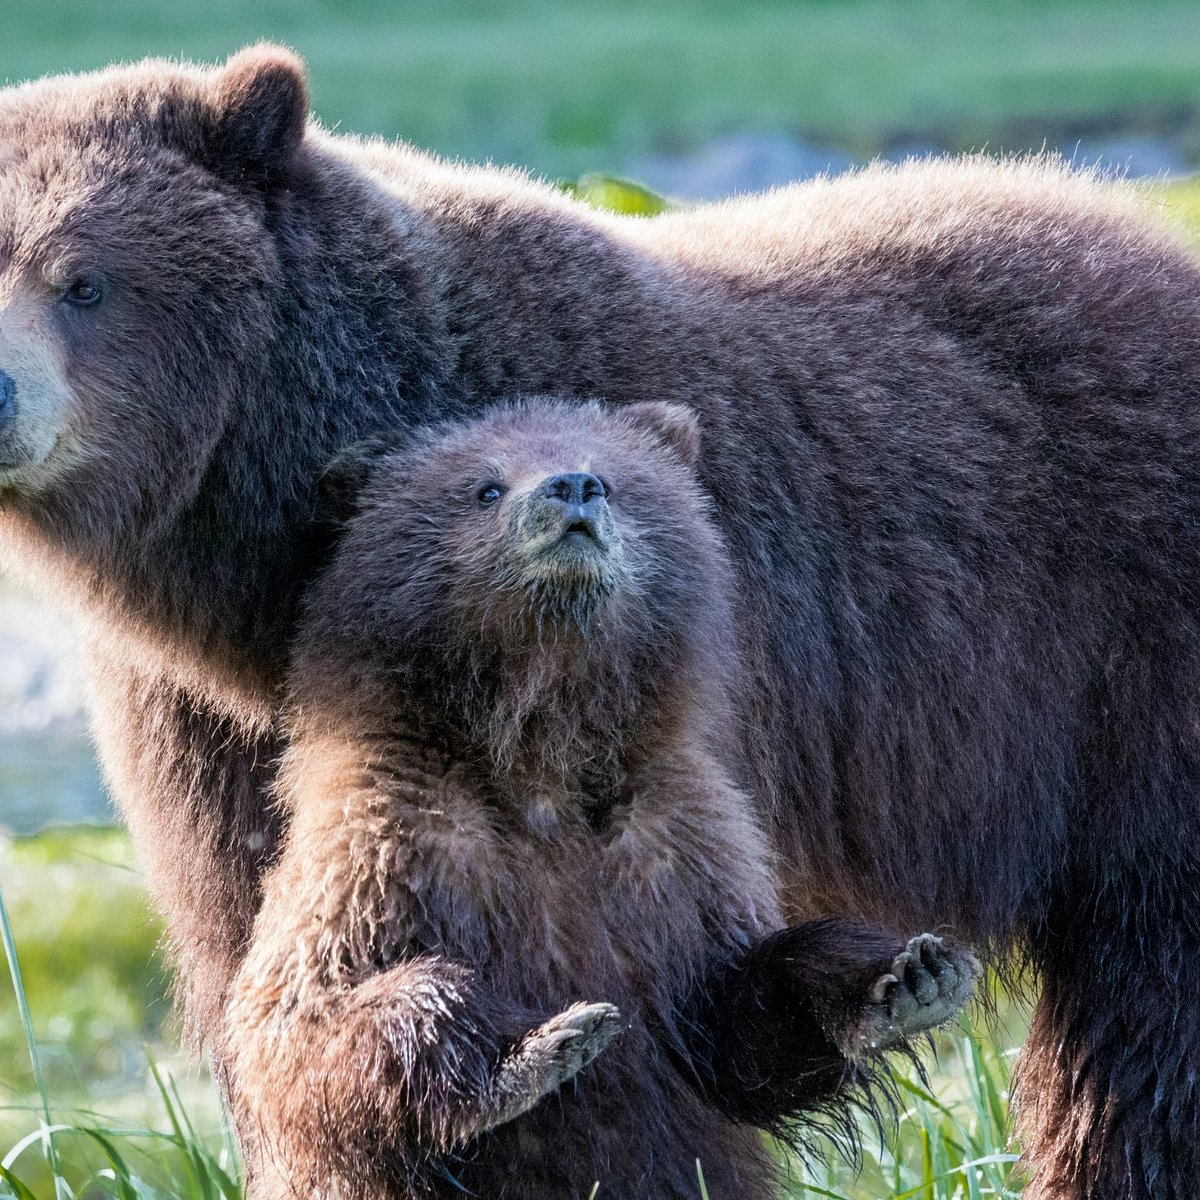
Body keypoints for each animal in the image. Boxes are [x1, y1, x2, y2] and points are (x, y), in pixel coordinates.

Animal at [0, 39, 1195, 1200]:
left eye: (82, 278)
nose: (4, 395)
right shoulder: (208, 731)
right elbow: (263, 946)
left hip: (1123, 657)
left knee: (1146, 996)